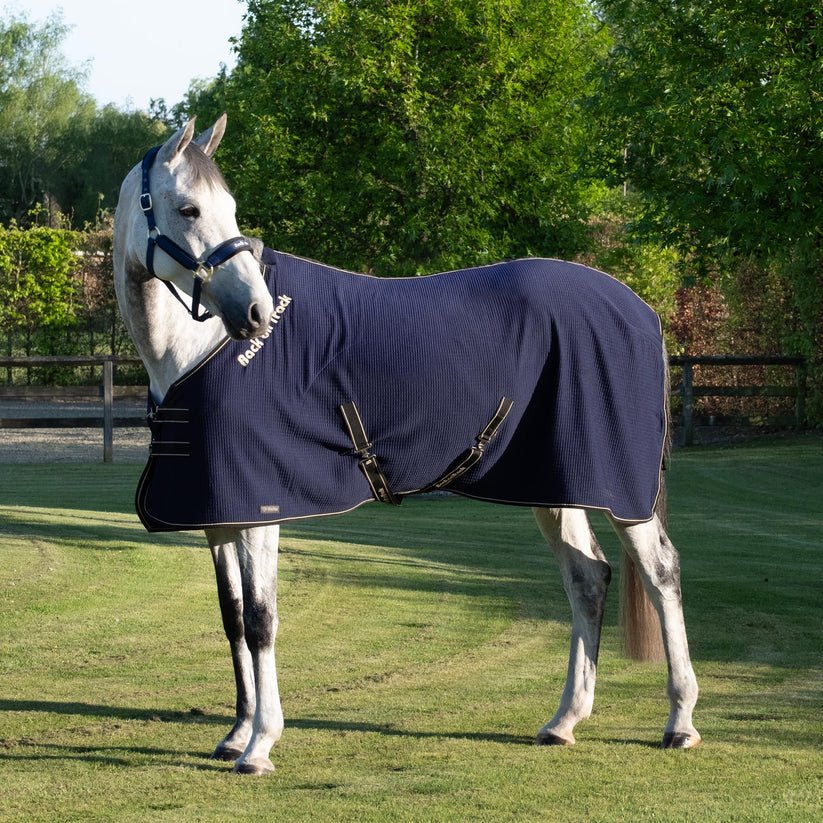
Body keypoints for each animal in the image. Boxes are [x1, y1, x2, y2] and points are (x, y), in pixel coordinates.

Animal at [113, 115, 700, 775]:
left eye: (230, 209)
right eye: (189, 208)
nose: (258, 312)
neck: (200, 350)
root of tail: (641, 310)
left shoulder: (260, 508)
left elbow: (263, 621)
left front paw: (261, 744)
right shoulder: (219, 516)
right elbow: (234, 620)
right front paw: (237, 733)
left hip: (623, 492)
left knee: (660, 573)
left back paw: (680, 721)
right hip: (554, 484)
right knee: (587, 577)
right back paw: (564, 721)